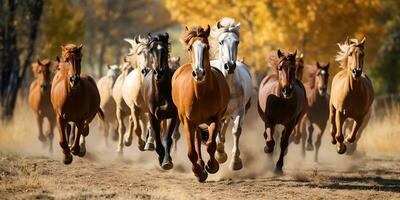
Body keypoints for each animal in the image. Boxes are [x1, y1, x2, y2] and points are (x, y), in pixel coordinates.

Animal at [141, 33, 178, 170]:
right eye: (151, 50)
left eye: (165, 50)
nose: (159, 72)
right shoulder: (153, 115)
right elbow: (157, 137)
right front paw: (161, 156)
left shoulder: (173, 115)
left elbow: (167, 138)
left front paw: (167, 161)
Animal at [171, 25, 230, 182]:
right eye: (190, 47)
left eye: (207, 47)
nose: (199, 73)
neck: (200, 94)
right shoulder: (187, 121)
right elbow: (191, 151)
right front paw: (198, 171)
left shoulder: (215, 118)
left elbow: (210, 144)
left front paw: (212, 166)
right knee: (197, 140)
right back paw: (200, 165)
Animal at [209, 17, 253, 170]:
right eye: (221, 42)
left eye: (237, 42)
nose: (230, 66)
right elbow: (216, 129)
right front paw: (220, 155)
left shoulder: (240, 110)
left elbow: (236, 130)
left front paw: (235, 161)